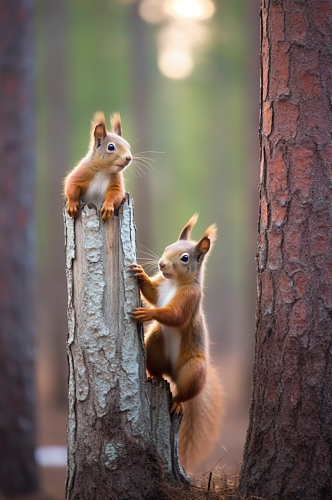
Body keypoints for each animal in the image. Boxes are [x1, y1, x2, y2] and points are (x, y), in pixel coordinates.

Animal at [130, 215, 223, 472]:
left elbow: (173, 315)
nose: (161, 264)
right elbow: (152, 294)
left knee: (184, 392)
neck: (173, 284)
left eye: (185, 258)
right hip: (154, 344)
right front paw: (140, 274)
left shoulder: (190, 299)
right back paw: (152, 376)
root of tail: (172, 373)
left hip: (193, 369)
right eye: (167, 248)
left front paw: (148, 314)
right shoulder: (160, 287)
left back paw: (179, 403)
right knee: (158, 370)